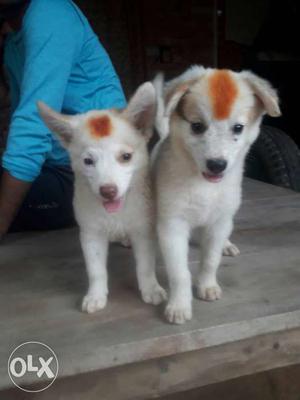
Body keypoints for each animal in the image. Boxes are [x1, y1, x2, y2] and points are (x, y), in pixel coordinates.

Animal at [37, 81, 166, 312]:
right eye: (88, 161)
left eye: (126, 157)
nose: (108, 191)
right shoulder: (91, 234)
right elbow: (95, 269)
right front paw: (96, 295)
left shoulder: (143, 231)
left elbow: (145, 266)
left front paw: (151, 289)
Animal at [154, 65, 280, 322]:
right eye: (197, 126)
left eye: (238, 128)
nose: (217, 165)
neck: (204, 186)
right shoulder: (172, 225)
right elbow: (179, 272)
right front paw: (179, 305)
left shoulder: (220, 221)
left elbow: (211, 260)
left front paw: (207, 285)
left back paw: (227, 245)